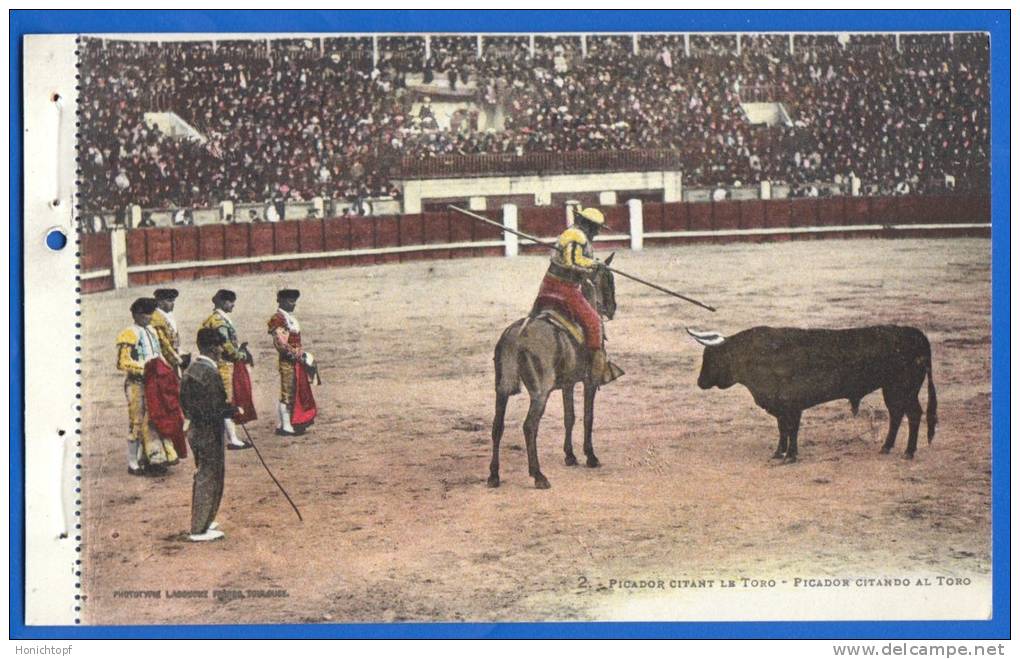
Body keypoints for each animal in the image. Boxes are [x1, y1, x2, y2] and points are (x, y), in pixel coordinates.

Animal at [487, 257, 616, 489]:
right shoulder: (589, 382)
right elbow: (588, 416)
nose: (612, 309)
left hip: (501, 389)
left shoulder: (568, 383)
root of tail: (515, 337)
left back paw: (494, 475)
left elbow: (569, 416)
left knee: (497, 426)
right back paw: (538, 475)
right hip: (540, 393)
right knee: (530, 426)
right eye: (609, 280)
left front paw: (570, 456)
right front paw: (590, 457)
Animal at [693, 326, 938, 463]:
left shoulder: (792, 406)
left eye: (711, 358)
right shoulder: (782, 408)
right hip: (892, 389)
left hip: (904, 388)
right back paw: (886, 447)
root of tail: (915, 334)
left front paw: (790, 456)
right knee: (897, 414)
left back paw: (908, 452)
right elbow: (783, 429)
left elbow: (791, 429)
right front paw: (779, 453)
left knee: (913, 415)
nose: (700, 382)